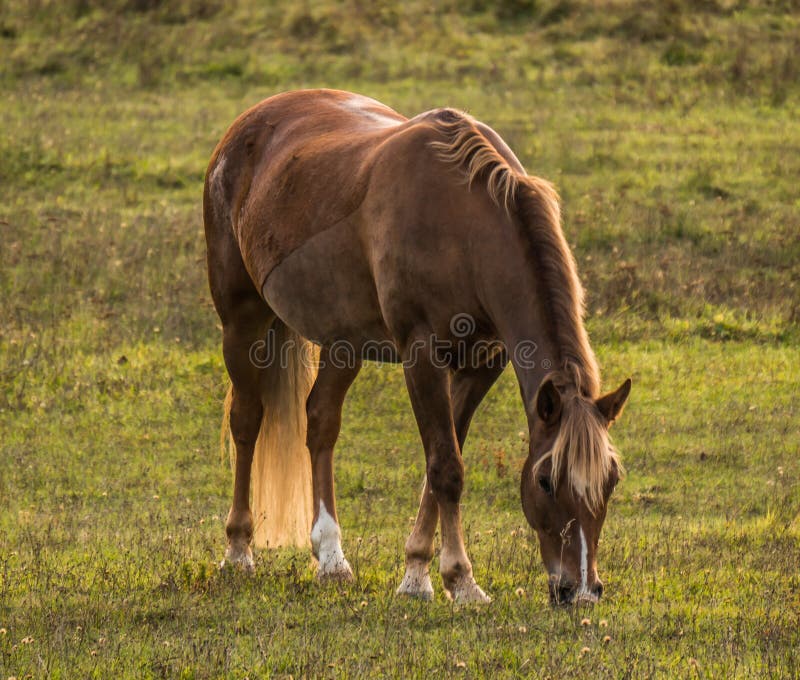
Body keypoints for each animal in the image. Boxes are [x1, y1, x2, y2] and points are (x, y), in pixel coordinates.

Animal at [206, 87, 632, 604]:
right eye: (546, 480)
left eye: (611, 481)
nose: (582, 592)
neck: (464, 228)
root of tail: (249, 123)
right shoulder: (422, 356)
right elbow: (447, 467)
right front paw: (460, 579)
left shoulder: (480, 364)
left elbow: (442, 462)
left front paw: (416, 574)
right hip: (241, 322)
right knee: (247, 421)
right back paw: (238, 550)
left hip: (343, 343)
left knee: (320, 422)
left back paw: (331, 558)